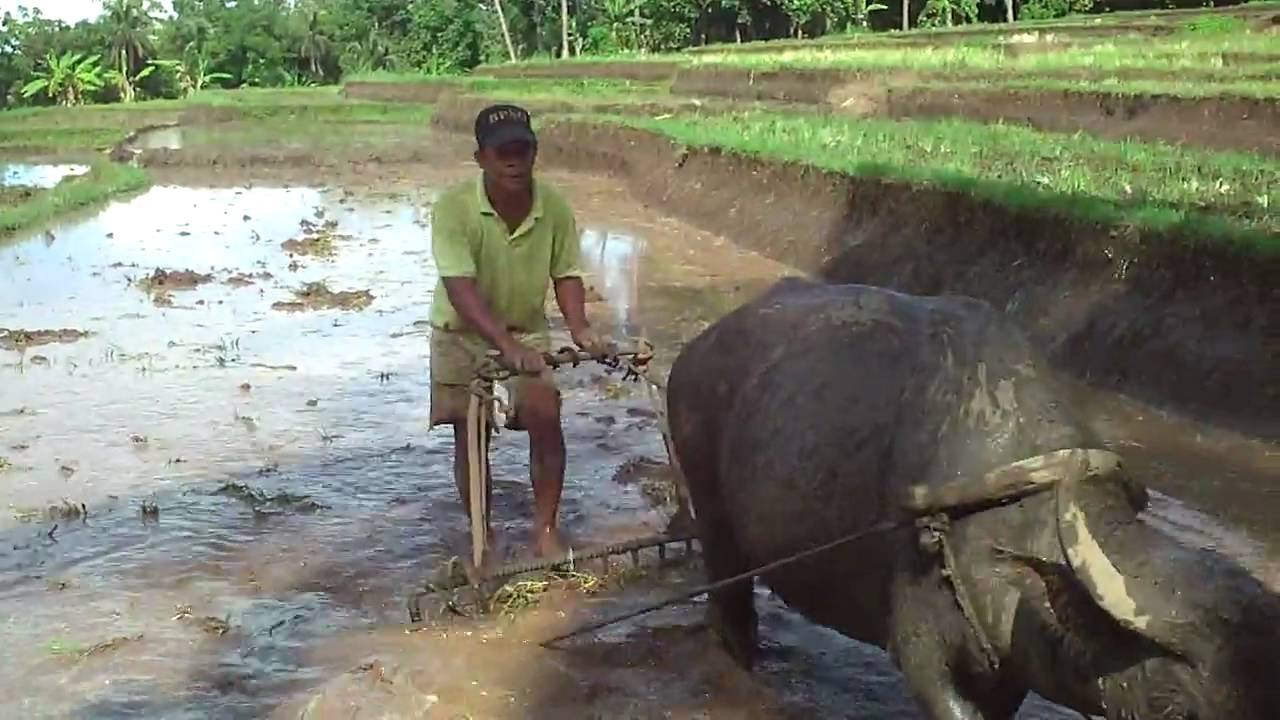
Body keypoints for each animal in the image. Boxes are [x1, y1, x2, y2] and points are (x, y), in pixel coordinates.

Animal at [665, 275, 1280, 717]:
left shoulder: (1008, 671)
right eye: (1182, 712)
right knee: (730, 608)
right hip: (715, 522)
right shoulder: (921, 653)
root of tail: (695, 351)